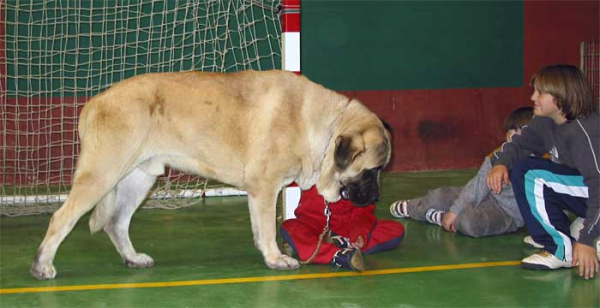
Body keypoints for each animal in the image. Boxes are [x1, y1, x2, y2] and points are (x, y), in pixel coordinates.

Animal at [30, 70, 392, 280]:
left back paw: (133, 258)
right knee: (61, 218)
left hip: (139, 179)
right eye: (371, 171)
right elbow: (266, 230)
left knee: (117, 222)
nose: (375, 197)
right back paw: (42, 266)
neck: (323, 125)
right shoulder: (264, 187)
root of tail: (95, 101)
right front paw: (276, 259)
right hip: (102, 174)